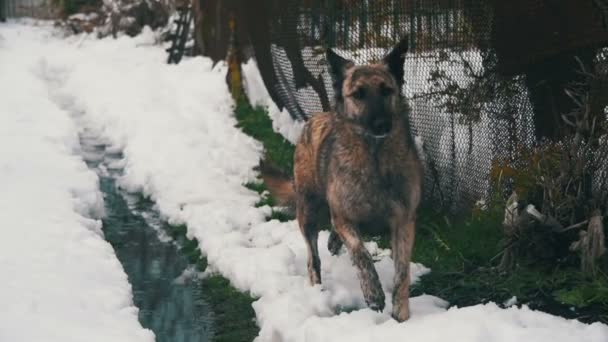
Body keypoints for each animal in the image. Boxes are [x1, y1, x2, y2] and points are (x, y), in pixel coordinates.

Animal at [262, 38, 422, 322]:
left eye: (387, 90)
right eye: (358, 94)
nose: (382, 124)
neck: (375, 158)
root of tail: (317, 116)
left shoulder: (403, 222)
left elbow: (402, 271)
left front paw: (401, 313)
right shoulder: (345, 217)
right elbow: (361, 253)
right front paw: (373, 293)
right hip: (308, 213)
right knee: (313, 259)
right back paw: (317, 289)